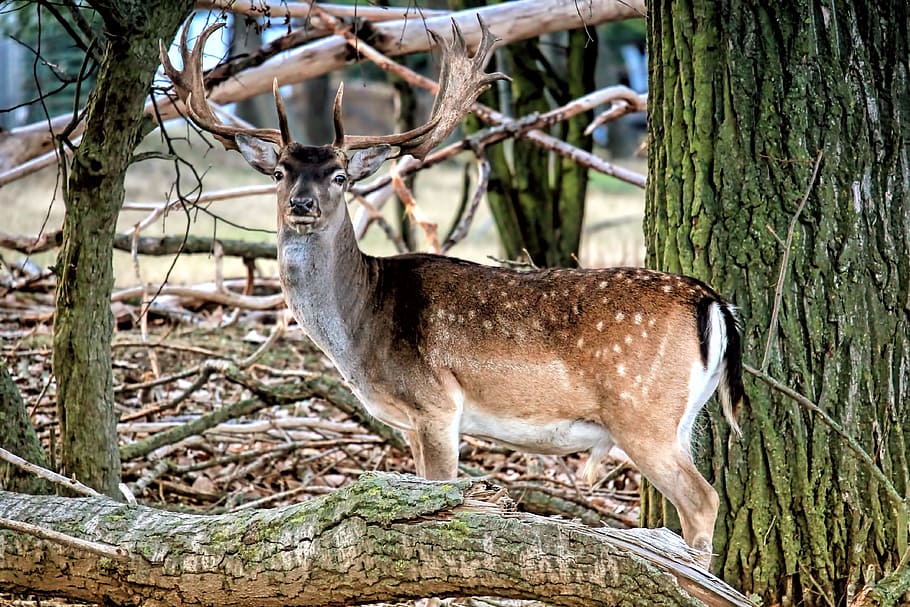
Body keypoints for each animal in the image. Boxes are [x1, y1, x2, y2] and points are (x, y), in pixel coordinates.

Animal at [161, 18, 745, 569]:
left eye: (340, 176)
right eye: (281, 172)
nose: (302, 204)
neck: (362, 326)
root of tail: (712, 301)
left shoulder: (436, 404)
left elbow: (439, 503)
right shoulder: (411, 423)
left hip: (641, 410)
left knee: (703, 500)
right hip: (681, 417)